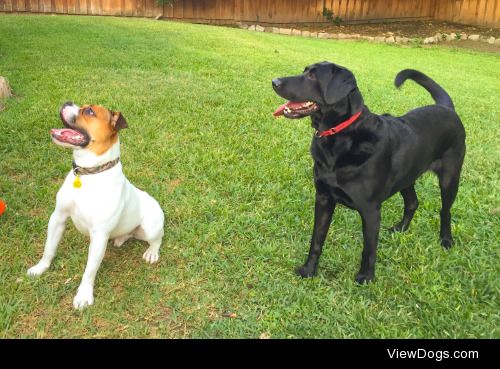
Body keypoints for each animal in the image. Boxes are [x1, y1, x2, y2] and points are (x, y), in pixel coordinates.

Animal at [27, 102, 164, 310]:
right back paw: (121, 238)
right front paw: (40, 268)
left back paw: (151, 253)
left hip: (150, 227)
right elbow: (49, 248)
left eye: (90, 111)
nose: (67, 102)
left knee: (157, 239)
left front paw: (84, 295)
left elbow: (90, 270)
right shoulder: (58, 217)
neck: (89, 173)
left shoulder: (99, 235)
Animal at [274, 62, 464, 282]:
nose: (275, 81)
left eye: (313, 76)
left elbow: (369, 249)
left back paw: (446, 240)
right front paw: (309, 270)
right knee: (412, 202)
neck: (340, 137)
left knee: (445, 211)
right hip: (406, 177)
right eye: (305, 71)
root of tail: (446, 107)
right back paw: (400, 228)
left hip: (450, 179)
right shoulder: (323, 198)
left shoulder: (370, 210)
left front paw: (365, 277)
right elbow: (317, 239)